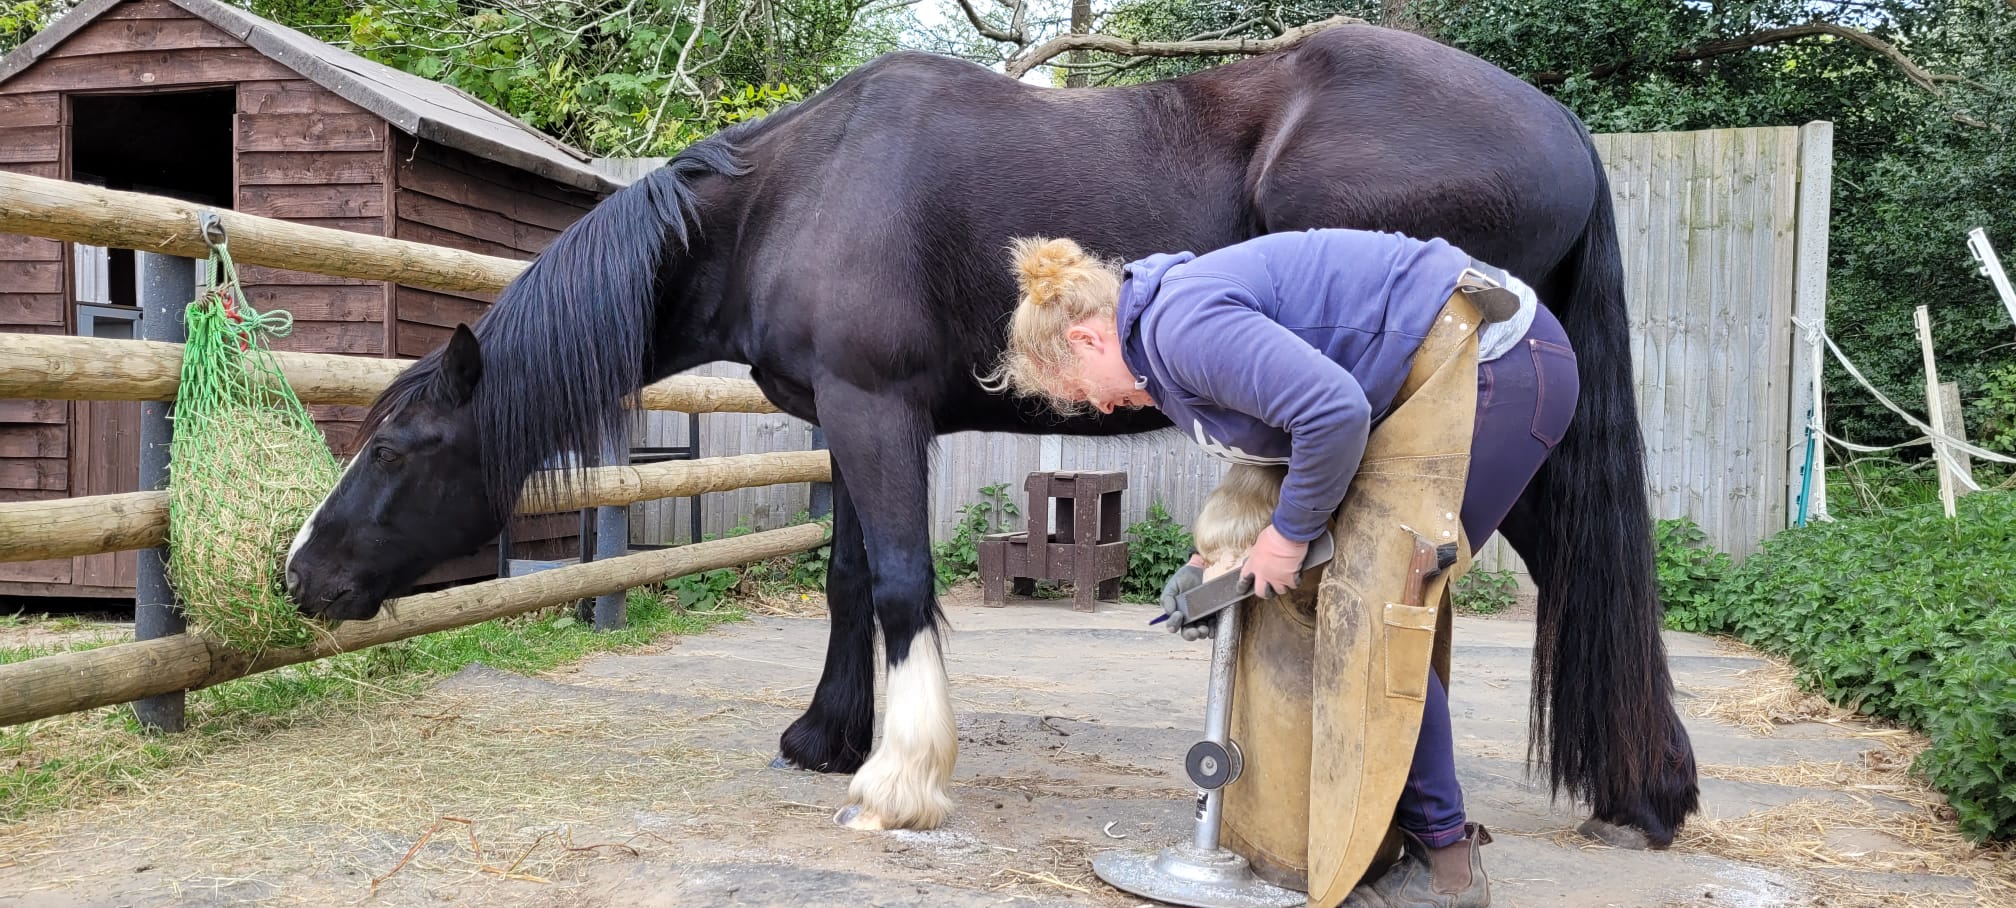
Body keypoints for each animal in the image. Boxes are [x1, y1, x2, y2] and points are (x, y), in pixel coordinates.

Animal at [283, 23, 1701, 847]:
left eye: (397, 446)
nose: (300, 574)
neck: (798, 192)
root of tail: (1563, 129)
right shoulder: (855, 419)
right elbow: (852, 576)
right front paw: (828, 736)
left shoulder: (875, 410)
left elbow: (904, 585)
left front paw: (898, 776)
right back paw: (1634, 793)